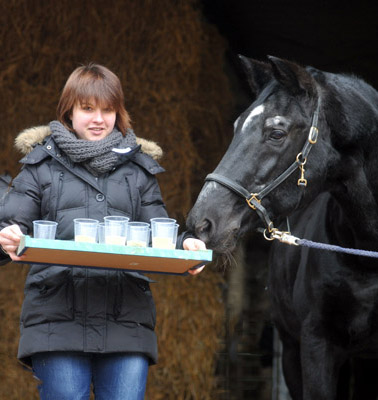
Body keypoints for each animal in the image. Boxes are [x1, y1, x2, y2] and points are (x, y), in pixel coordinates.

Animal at [188, 57, 378, 400]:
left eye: (276, 132)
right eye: (236, 126)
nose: (202, 221)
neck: (367, 260)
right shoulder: (316, 346)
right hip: (292, 351)